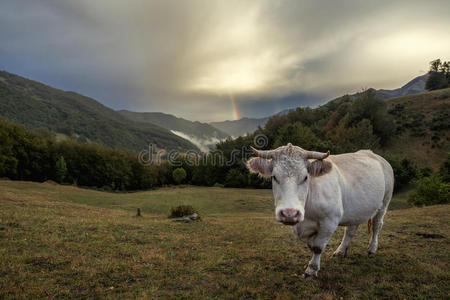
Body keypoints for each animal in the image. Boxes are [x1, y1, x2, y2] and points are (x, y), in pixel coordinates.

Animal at [246, 144, 394, 278]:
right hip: (356, 209)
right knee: (350, 230)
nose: (289, 213)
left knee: (376, 225)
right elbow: (311, 244)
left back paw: (372, 248)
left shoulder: (330, 221)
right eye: (274, 177)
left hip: (384, 202)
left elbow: (317, 246)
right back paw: (341, 251)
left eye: (305, 177)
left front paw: (312, 269)